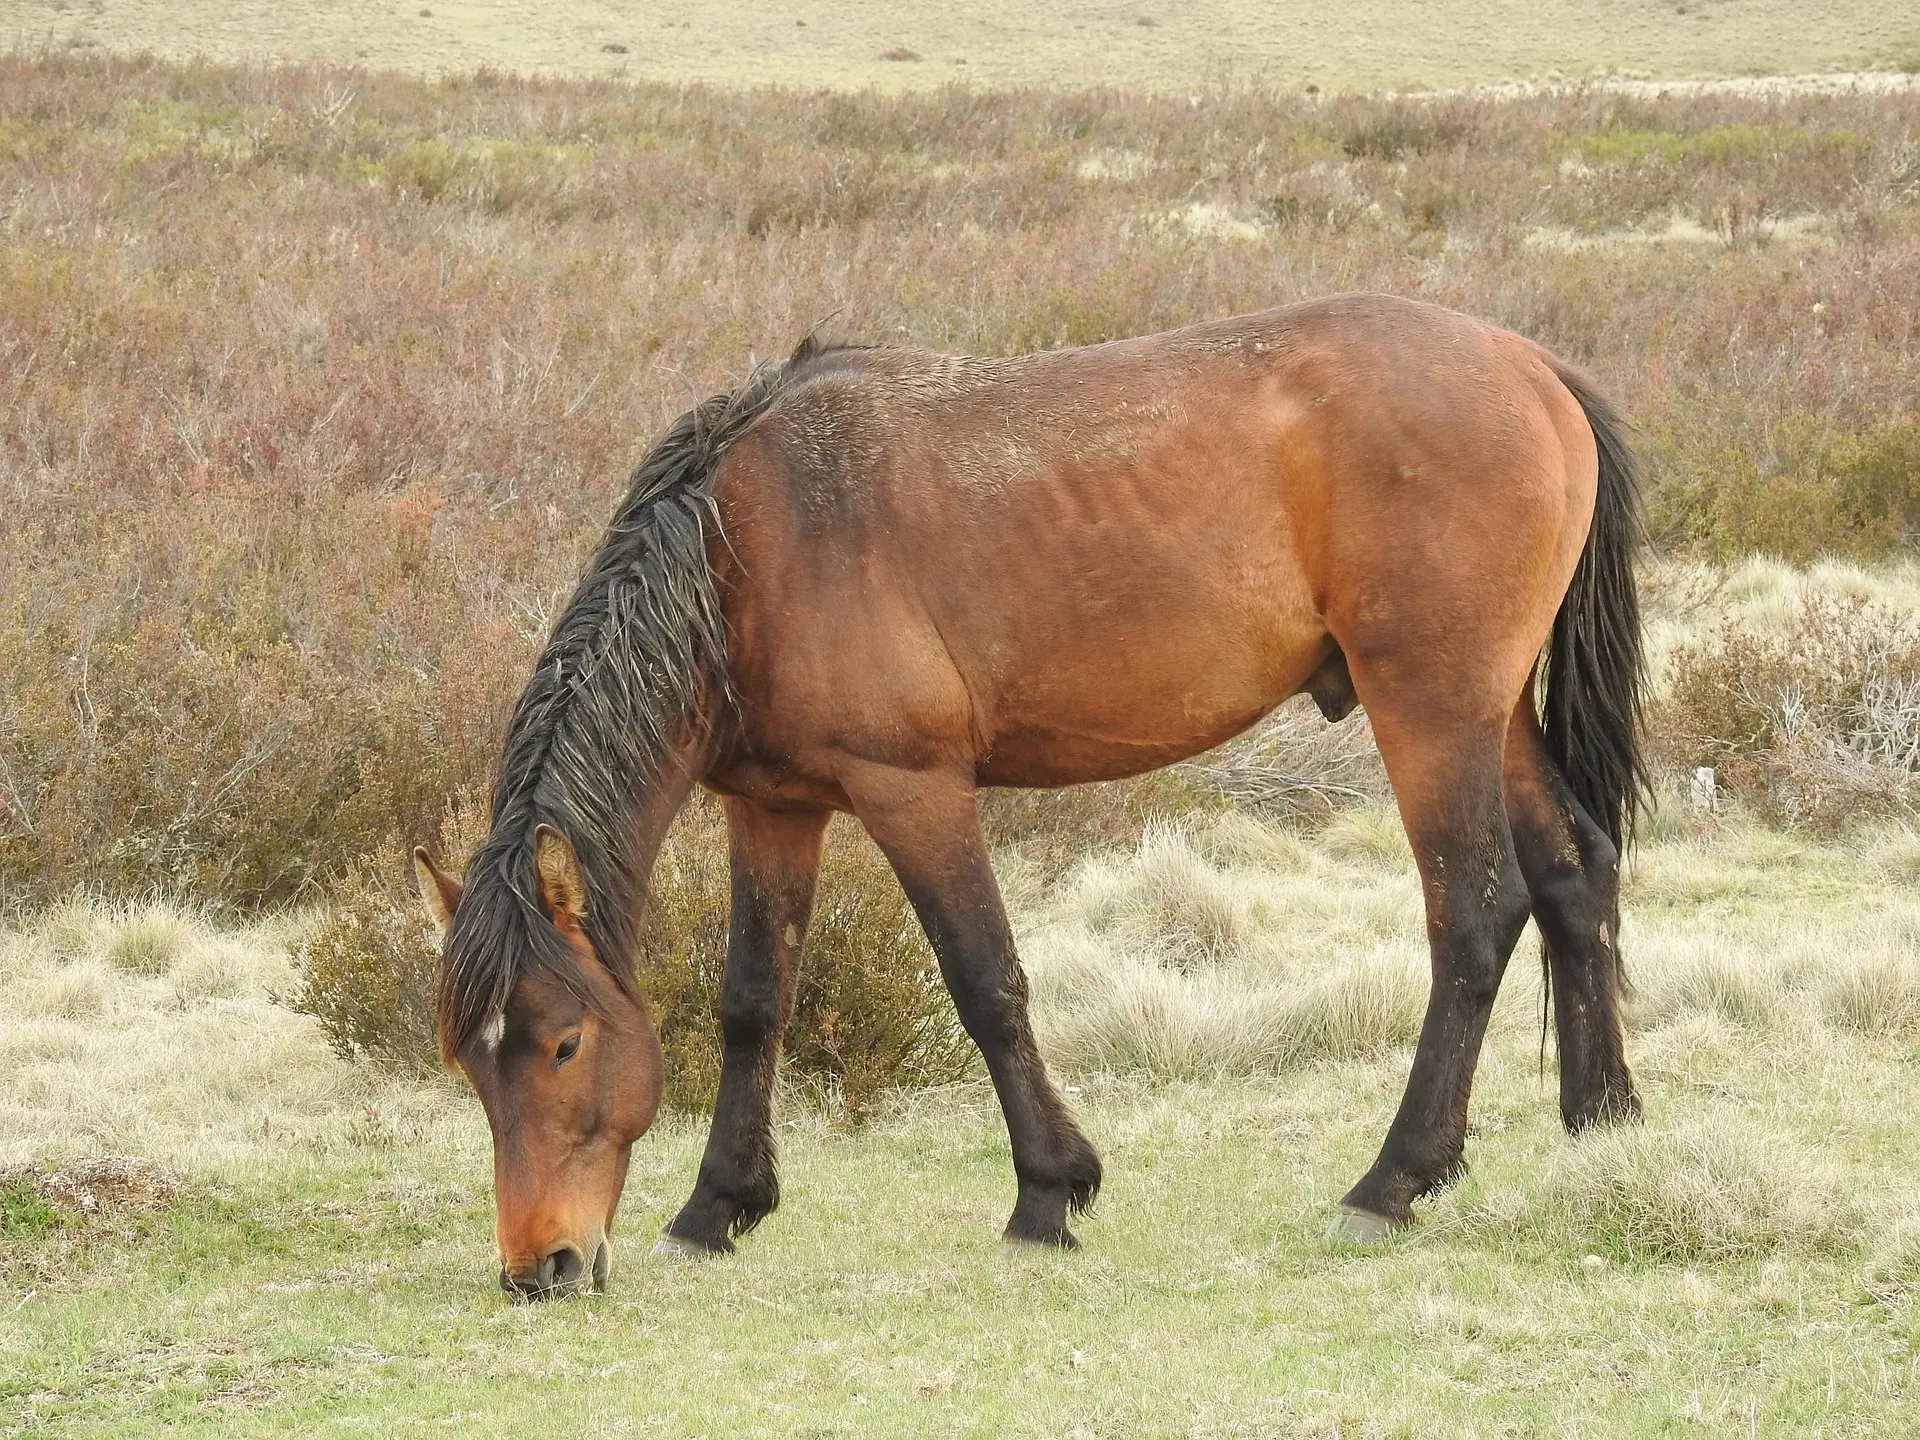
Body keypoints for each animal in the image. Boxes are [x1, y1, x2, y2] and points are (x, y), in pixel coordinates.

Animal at [412, 293, 1643, 1297]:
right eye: (470, 1060)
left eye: (563, 1044)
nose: (540, 1267)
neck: (747, 554)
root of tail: (1533, 367)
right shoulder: (775, 808)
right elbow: (753, 1002)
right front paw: (718, 1207)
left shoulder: (914, 792)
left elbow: (987, 982)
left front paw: (1049, 1192)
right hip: (1493, 712)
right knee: (1573, 874)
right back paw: (1602, 1124)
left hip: (1430, 711)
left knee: (1473, 916)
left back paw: (1392, 1182)